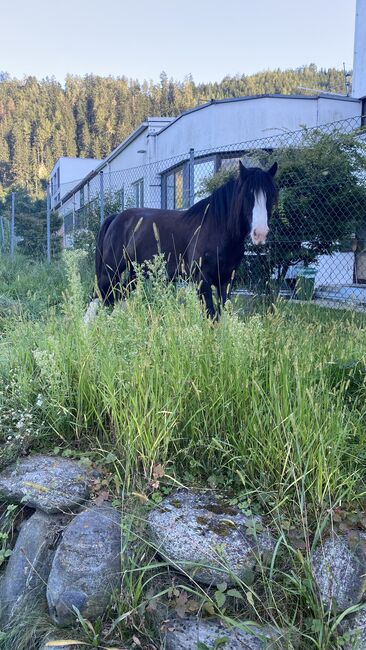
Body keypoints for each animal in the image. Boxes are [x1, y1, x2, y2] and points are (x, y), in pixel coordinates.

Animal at [94, 159, 278, 316]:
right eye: (247, 195)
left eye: (270, 196)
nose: (260, 233)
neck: (217, 228)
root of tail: (116, 219)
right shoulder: (202, 280)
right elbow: (210, 316)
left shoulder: (225, 281)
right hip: (111, 271)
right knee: (101, 298)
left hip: (135, 273)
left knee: (117, 298)